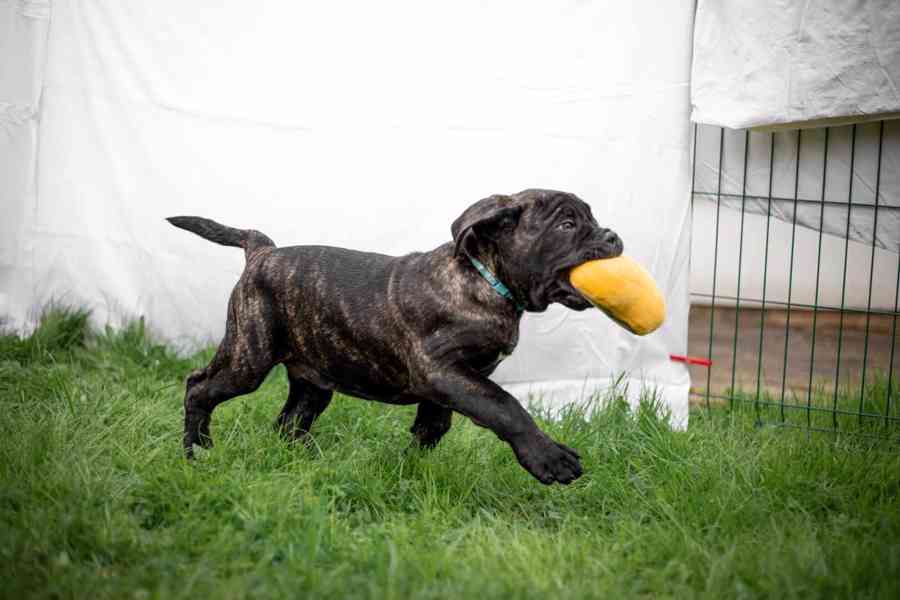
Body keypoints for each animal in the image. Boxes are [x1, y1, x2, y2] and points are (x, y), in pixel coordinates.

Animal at [167, 190, 620, 486]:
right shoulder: (443, 370)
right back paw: (197, 451)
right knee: (199, 386)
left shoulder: (450, 383)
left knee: (289, 422)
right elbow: (503, 406)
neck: (484, 279)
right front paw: (549, 458)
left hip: (313, 378)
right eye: (567, 225)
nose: (613, 237)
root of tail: (262, 251)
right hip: (249, 356)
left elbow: (435, 425)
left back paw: (304, 465)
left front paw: (410, 464)